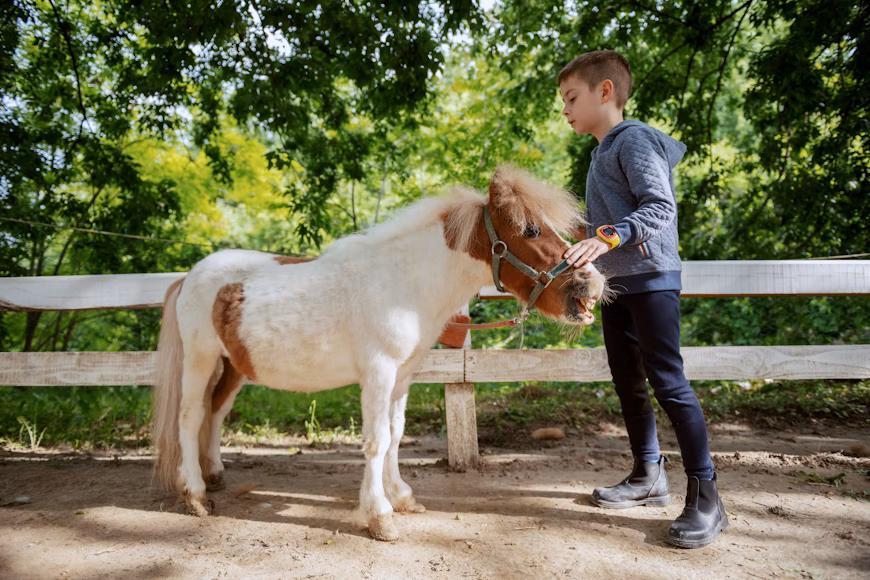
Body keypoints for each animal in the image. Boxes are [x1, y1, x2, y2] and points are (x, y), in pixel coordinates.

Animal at [151, 165, 608, 541]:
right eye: (530, 230)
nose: (591, 282)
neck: (403, 283)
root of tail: (188, 276)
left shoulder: (402, 376)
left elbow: (395, 434)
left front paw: (401, 496)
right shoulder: (378, 373)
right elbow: (376, 440)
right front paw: (379, 516)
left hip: (233, 367)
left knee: (216, 412)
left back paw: (214, 475)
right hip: (200, 360)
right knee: (190, 417)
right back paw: (195, 495)